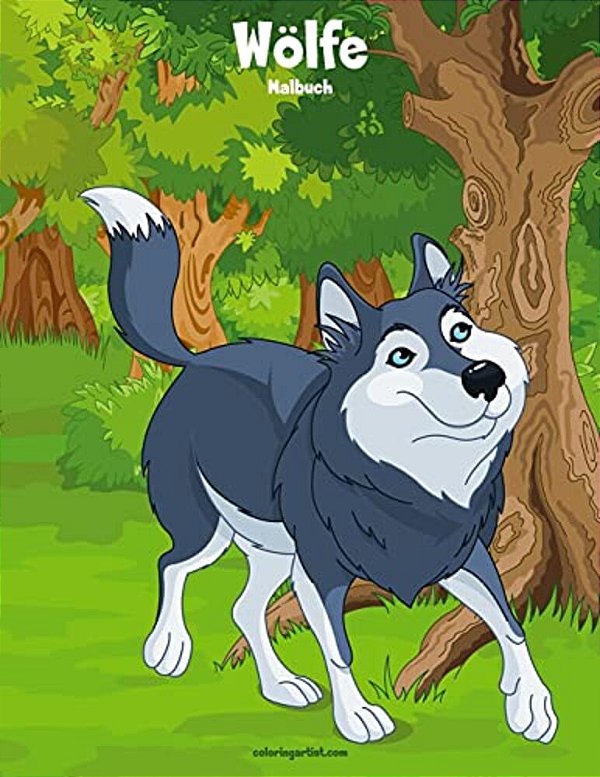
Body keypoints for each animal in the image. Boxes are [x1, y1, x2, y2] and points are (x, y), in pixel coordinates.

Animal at [82, 186, 558, 745]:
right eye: (400, 356)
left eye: (460, 331)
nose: (486, 376)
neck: (410, 476)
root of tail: (201, 360)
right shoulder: (321, 571)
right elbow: (339, 647)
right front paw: (357, 716)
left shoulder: (463, 556)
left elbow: (508, 622)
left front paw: (531, 703)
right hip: (208, 528)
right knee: (172, 564)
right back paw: (168, 646)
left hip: (274, 548)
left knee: (244, 607)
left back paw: (280, 685)